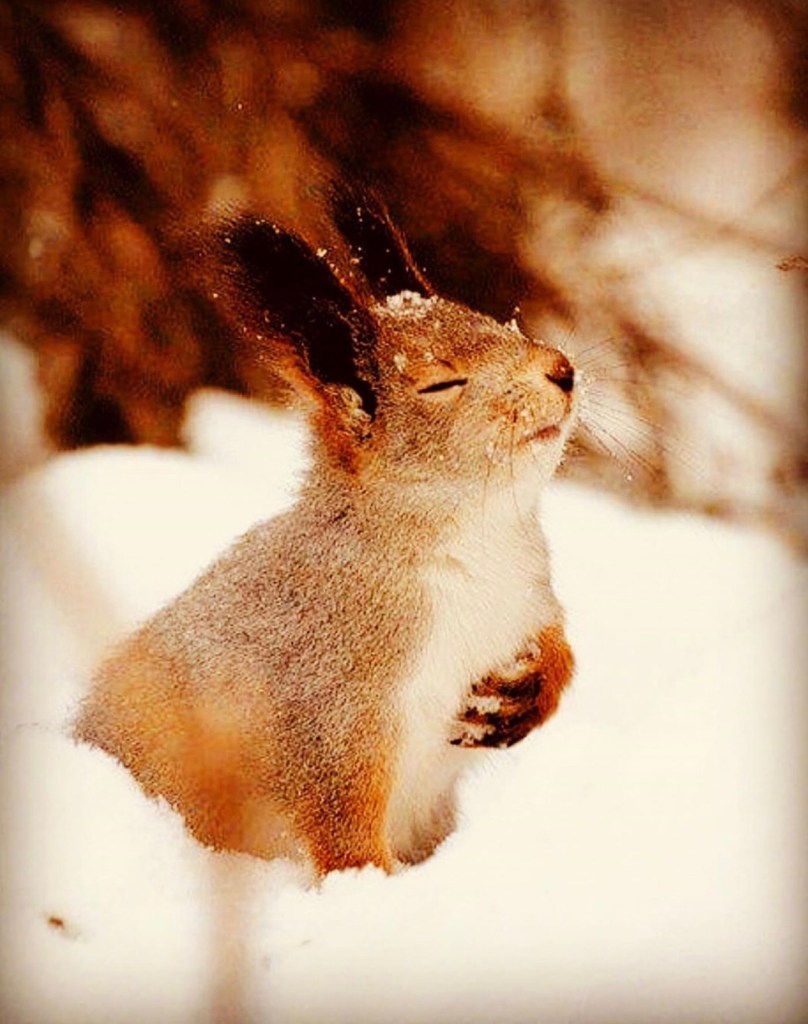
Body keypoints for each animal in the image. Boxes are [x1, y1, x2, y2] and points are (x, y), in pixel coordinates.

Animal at [73, 187, 578, 875]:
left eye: (499, 322)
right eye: (441, 382)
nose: (563, 368)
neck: (476, 540)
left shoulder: (527, 596)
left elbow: (557, 645)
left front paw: (529, 691)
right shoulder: (334, 702)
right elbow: (343, 823)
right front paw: (371, 889)